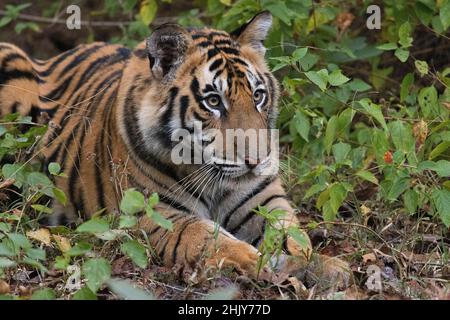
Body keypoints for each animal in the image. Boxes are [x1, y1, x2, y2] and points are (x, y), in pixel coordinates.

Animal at [0, 11, 352, 288]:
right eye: (214, 102)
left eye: (258, 96)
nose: (257, 160)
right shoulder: (154, 213)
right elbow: (208, 237)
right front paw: (256, 261)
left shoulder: (261, 200)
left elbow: (291, 233)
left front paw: (325, 265)